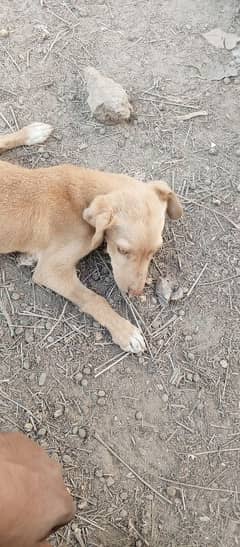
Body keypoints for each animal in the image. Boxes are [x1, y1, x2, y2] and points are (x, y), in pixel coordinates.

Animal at [0, 123, 183, 356]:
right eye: (122, 250)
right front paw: (125, 331)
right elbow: (94, 298)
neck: (81, 197)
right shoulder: (50, 271)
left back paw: (32, 133)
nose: (135, 293)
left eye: (155, 251)